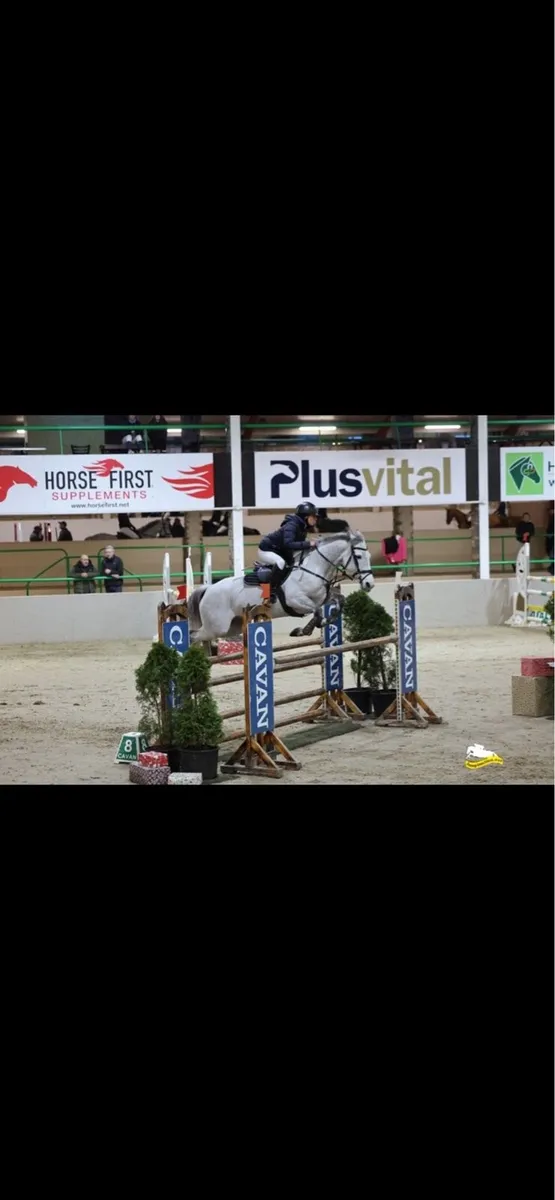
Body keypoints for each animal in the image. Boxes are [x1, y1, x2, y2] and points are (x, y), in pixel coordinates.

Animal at [186, 529, 375, 647]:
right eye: (358, 556)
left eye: (369, 555)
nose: (369, 584)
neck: (314, 569)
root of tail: (208, 589)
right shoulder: (296, 601)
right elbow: (317, 611)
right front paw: (303, 630)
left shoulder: (324, 597)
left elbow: (338, 602)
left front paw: (313, 626)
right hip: (217, 627)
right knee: (193, 635)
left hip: (231, 627)